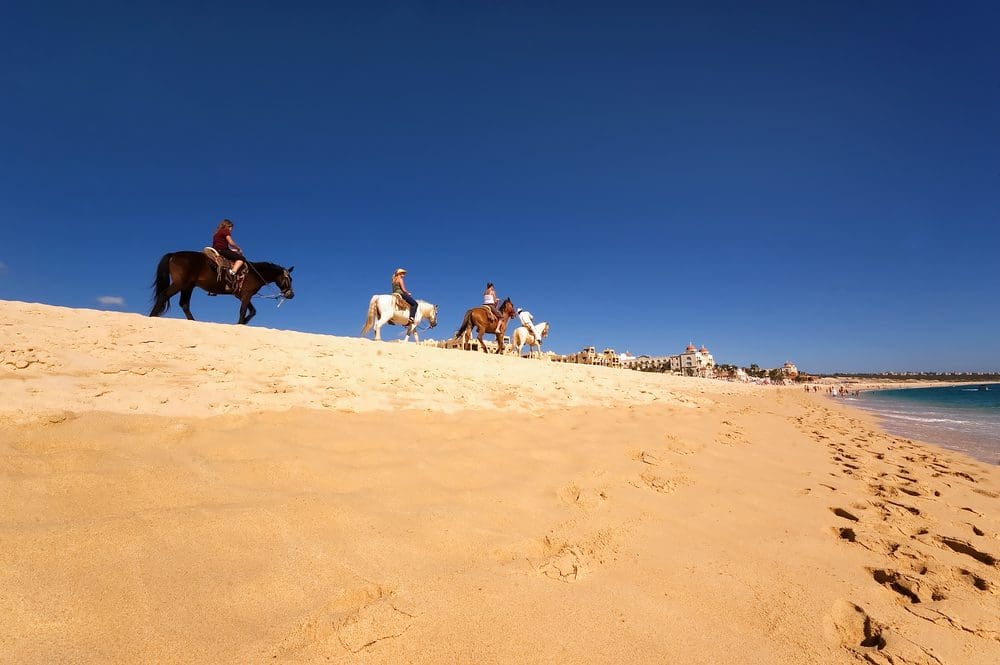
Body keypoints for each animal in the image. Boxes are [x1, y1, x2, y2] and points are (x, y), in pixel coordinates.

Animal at [149, 250, 292, 326]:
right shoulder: (246, 295)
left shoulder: (242, 295)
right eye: (288, 279)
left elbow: (252, 311)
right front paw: (240, 323)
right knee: (164, 295)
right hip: (180, 284)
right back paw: (152, 317)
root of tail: (173, 254)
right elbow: (243, 311)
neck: (255, 272)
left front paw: (243, 322)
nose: (291, 294)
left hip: (188, 286)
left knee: (184, 304)